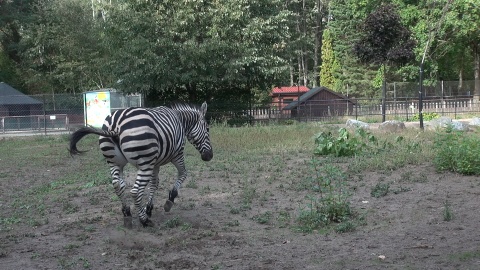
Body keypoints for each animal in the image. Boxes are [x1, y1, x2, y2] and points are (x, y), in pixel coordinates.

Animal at [68, 102, 213, 227]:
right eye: (207, 129)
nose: (209, 156)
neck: (181, 122)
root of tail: (116, 125)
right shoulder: (177, 155)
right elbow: (183, 174)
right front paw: (169, 200)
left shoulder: (155, 163)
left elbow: (154, 184)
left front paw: (148, 208)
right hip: (145, 164)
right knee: (135, 191)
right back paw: (144, 220)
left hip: (115, 162)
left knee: (118, 185)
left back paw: (127, 213)